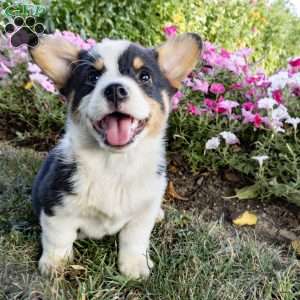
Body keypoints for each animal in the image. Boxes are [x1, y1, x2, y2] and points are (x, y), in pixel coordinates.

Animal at [30, 32, 202, 278]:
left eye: (145, 76)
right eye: (92, 77)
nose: (114, 90)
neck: (115, 163)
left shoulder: (141, 215)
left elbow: (135, 240)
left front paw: (134, 266)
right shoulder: (56, 206)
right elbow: (58, 239)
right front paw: (54, 264)